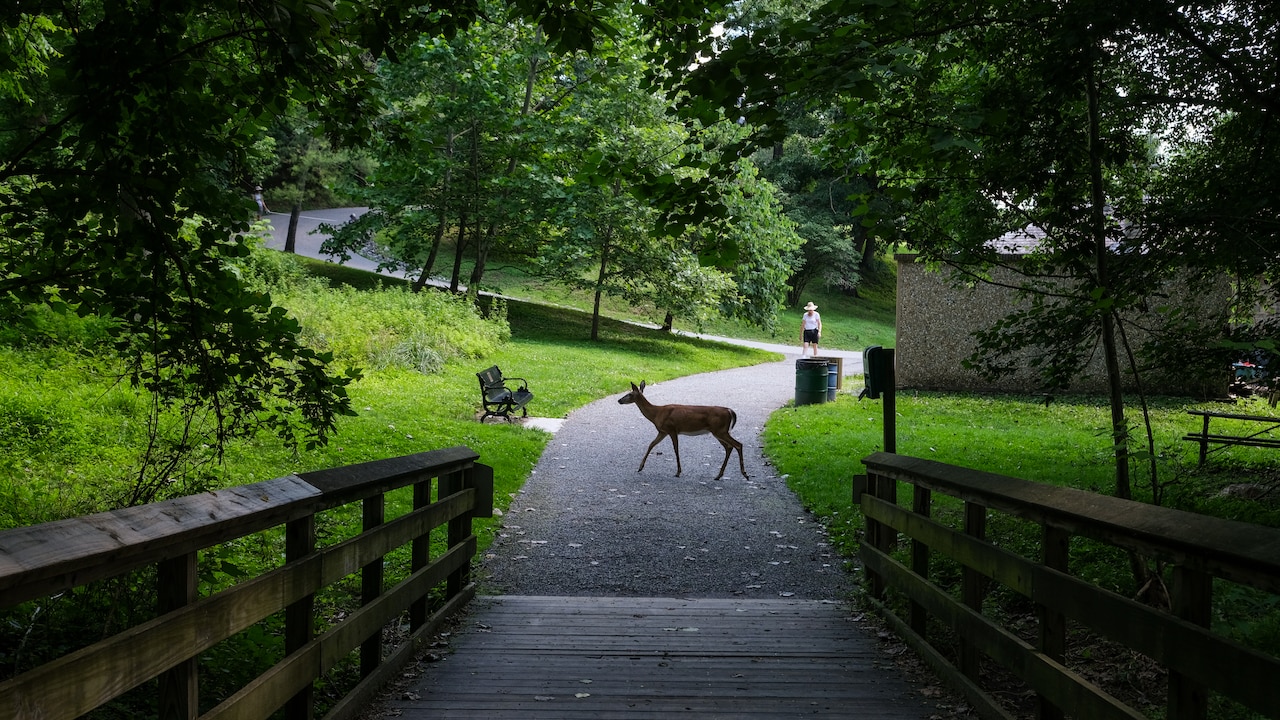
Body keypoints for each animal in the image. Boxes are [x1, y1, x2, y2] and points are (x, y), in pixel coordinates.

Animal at [617, 380, 747, 480]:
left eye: (629, 394)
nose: (619, 400)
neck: (656, 413)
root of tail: (730, 411)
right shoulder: (662, 431)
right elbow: (651, 445)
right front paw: (640, 467)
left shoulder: (671, 429)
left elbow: (676, 449)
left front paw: (678, 472)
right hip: (719, 431)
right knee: (729, 447)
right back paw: (719, 475)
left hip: (720, 430)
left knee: (738, 444)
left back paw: (744, 474)